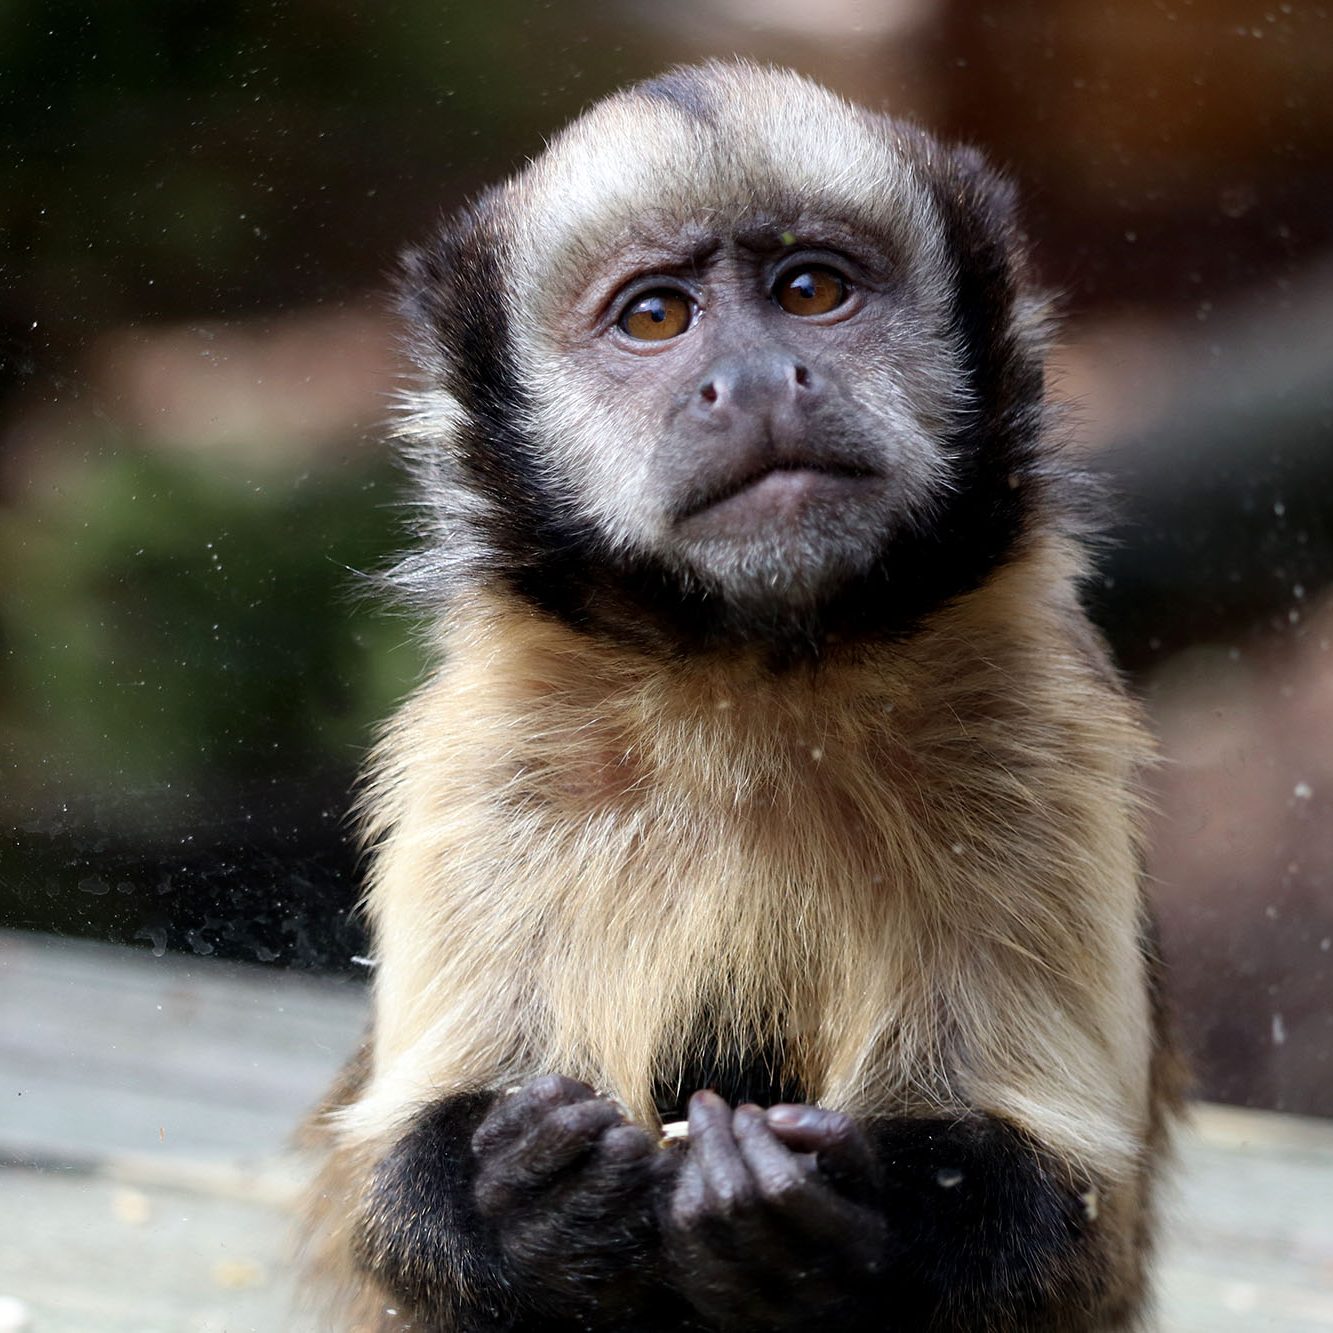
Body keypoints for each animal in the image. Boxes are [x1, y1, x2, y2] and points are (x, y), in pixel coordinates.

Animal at [305, 57, 1189, 1327]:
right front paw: (534, 1200)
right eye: (656, 317)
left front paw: (827, 1213)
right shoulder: (488, 749)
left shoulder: (1036, 731)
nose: (762, 377)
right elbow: (399, 1206)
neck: (753, 684)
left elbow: (1059, 1220)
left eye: (810, 290)